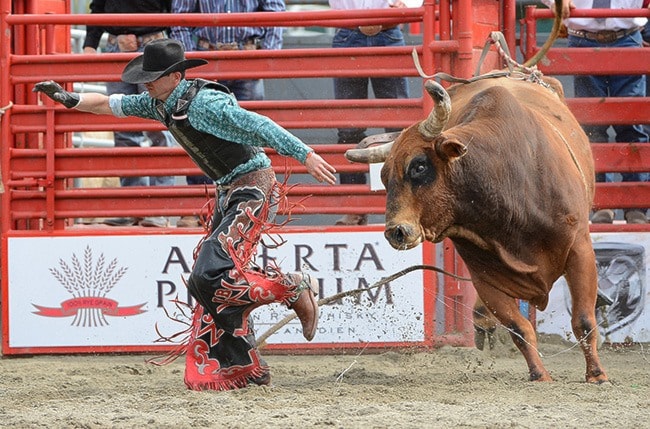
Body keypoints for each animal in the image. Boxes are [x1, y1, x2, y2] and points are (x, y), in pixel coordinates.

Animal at [346, 74, 604, 382]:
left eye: (419, 166)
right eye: (384, 177)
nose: (395, 231)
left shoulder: (579, 249)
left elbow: (584, 320)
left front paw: (596, 374)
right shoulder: (484, 273)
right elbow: (519, 328)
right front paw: (539, 374)